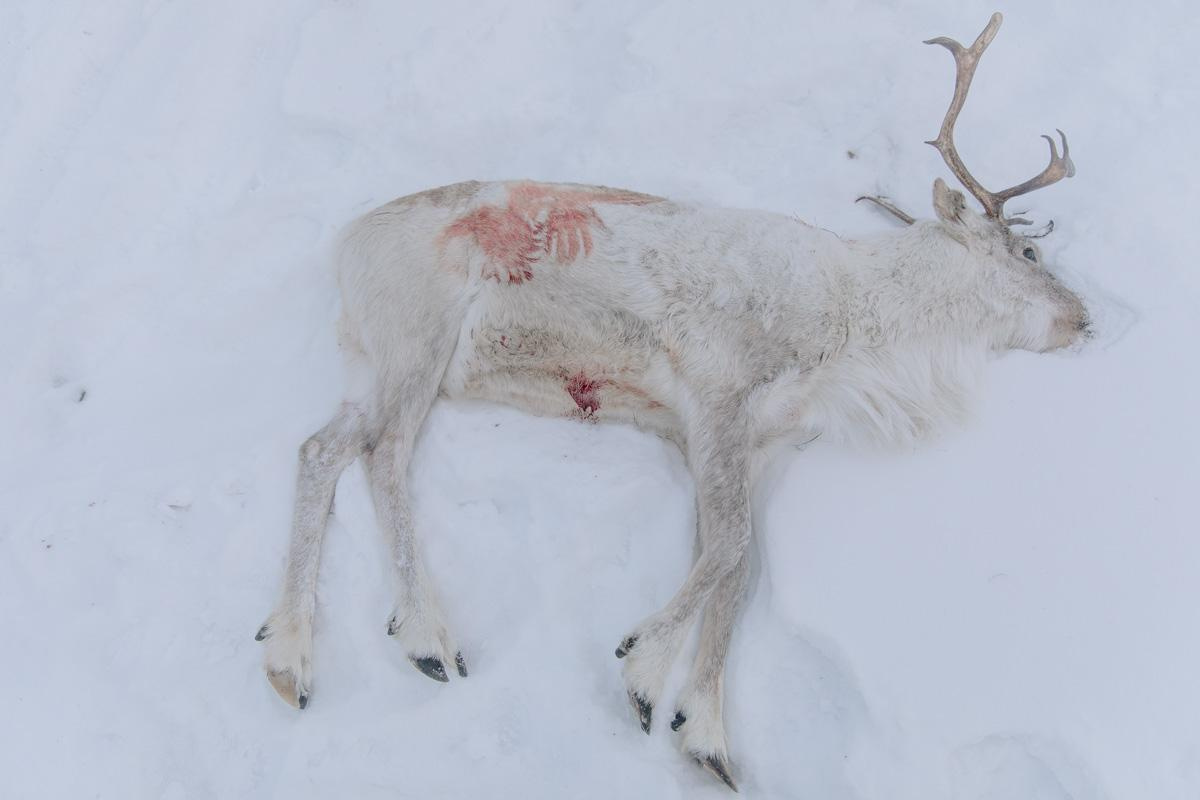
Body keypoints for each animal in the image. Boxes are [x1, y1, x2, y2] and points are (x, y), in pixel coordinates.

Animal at [254, 13, 1088, 791]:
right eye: (1029, 252)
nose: (1085, 319)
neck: (853, 322)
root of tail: (345, 245)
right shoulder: (719, 399)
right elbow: (729, 550)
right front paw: (641, 672)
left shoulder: (750, 444)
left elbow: (736, 570)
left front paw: (706, 736)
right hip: (416, 341)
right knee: (382, 453)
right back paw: (426, 639)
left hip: (376, 364)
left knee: (322, 446)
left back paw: (288, 656)